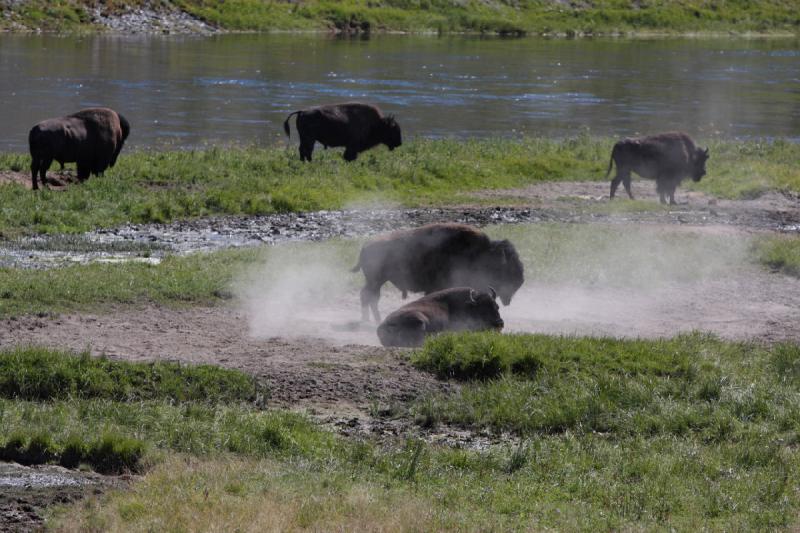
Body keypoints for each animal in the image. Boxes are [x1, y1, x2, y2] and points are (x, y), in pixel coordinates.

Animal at [350, 222, 524, 322]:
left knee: (370, 297)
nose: (520, 280)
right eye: (507, 268)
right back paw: (371, 321)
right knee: (369, 296)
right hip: (376, 281)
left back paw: (372, 320)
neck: (482, 253)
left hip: (377, 281)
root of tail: (365, 247)